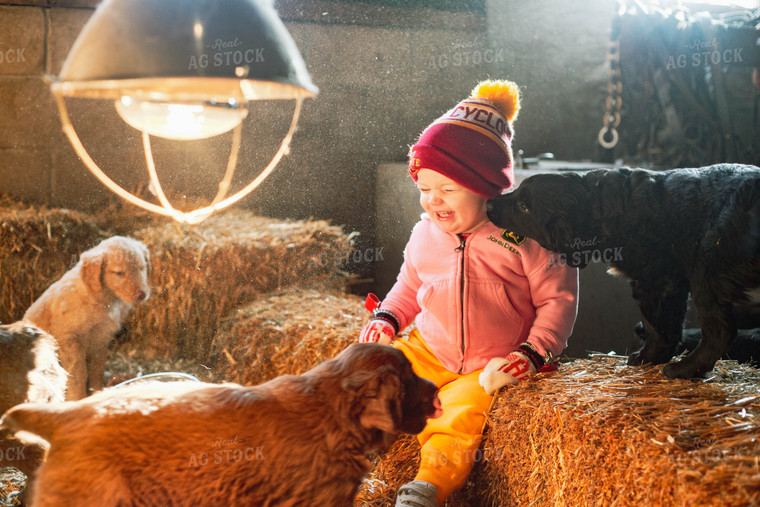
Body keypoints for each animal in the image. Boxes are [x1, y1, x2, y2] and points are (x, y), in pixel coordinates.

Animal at [23, 236, 151, 398]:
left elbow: (96, 370)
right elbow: (78, 374)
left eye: (142, 268)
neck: (99, 296)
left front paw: (97, 392)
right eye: (119, 273)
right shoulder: (70, 340)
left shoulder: (100, 339)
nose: (142, 294)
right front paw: (78, 398)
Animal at [486, 165, 760, 380]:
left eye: (524, 207)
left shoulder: (655, 280)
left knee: (720, 331)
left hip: (707, 265)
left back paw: (683, 369)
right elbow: (669, 326)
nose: (488, 202)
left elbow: (656, 325)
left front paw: (647, 357)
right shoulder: (671, 282)